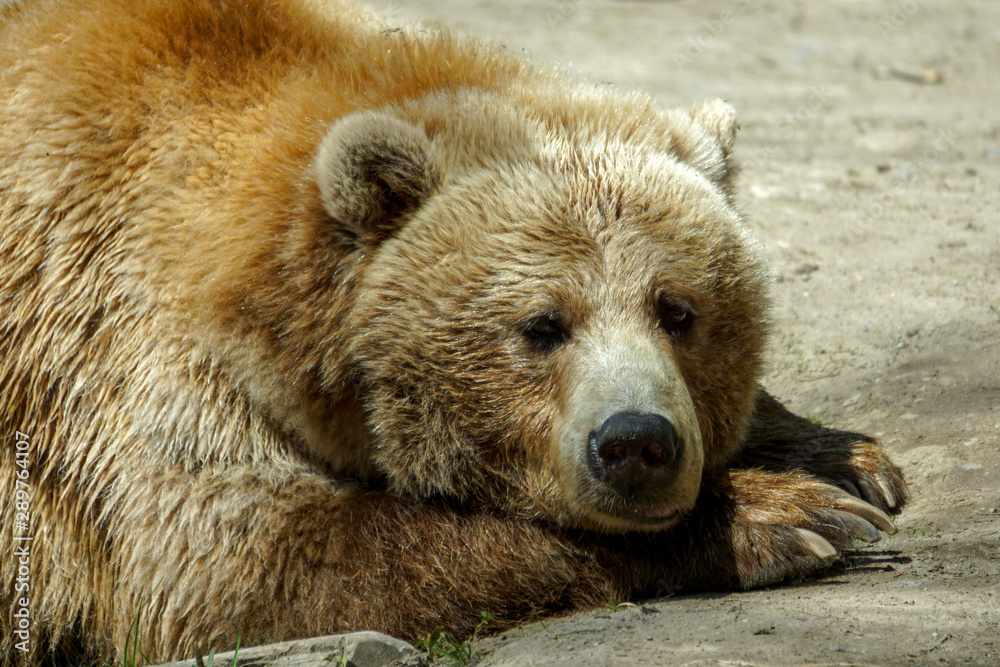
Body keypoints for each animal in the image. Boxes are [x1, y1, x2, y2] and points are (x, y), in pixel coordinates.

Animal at [0, 0, 906, 663]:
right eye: (542, 324)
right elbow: (245, 564)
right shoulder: (121, 357)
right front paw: (783, 513)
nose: (637, 443)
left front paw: (846, 457)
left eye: (678, 309)